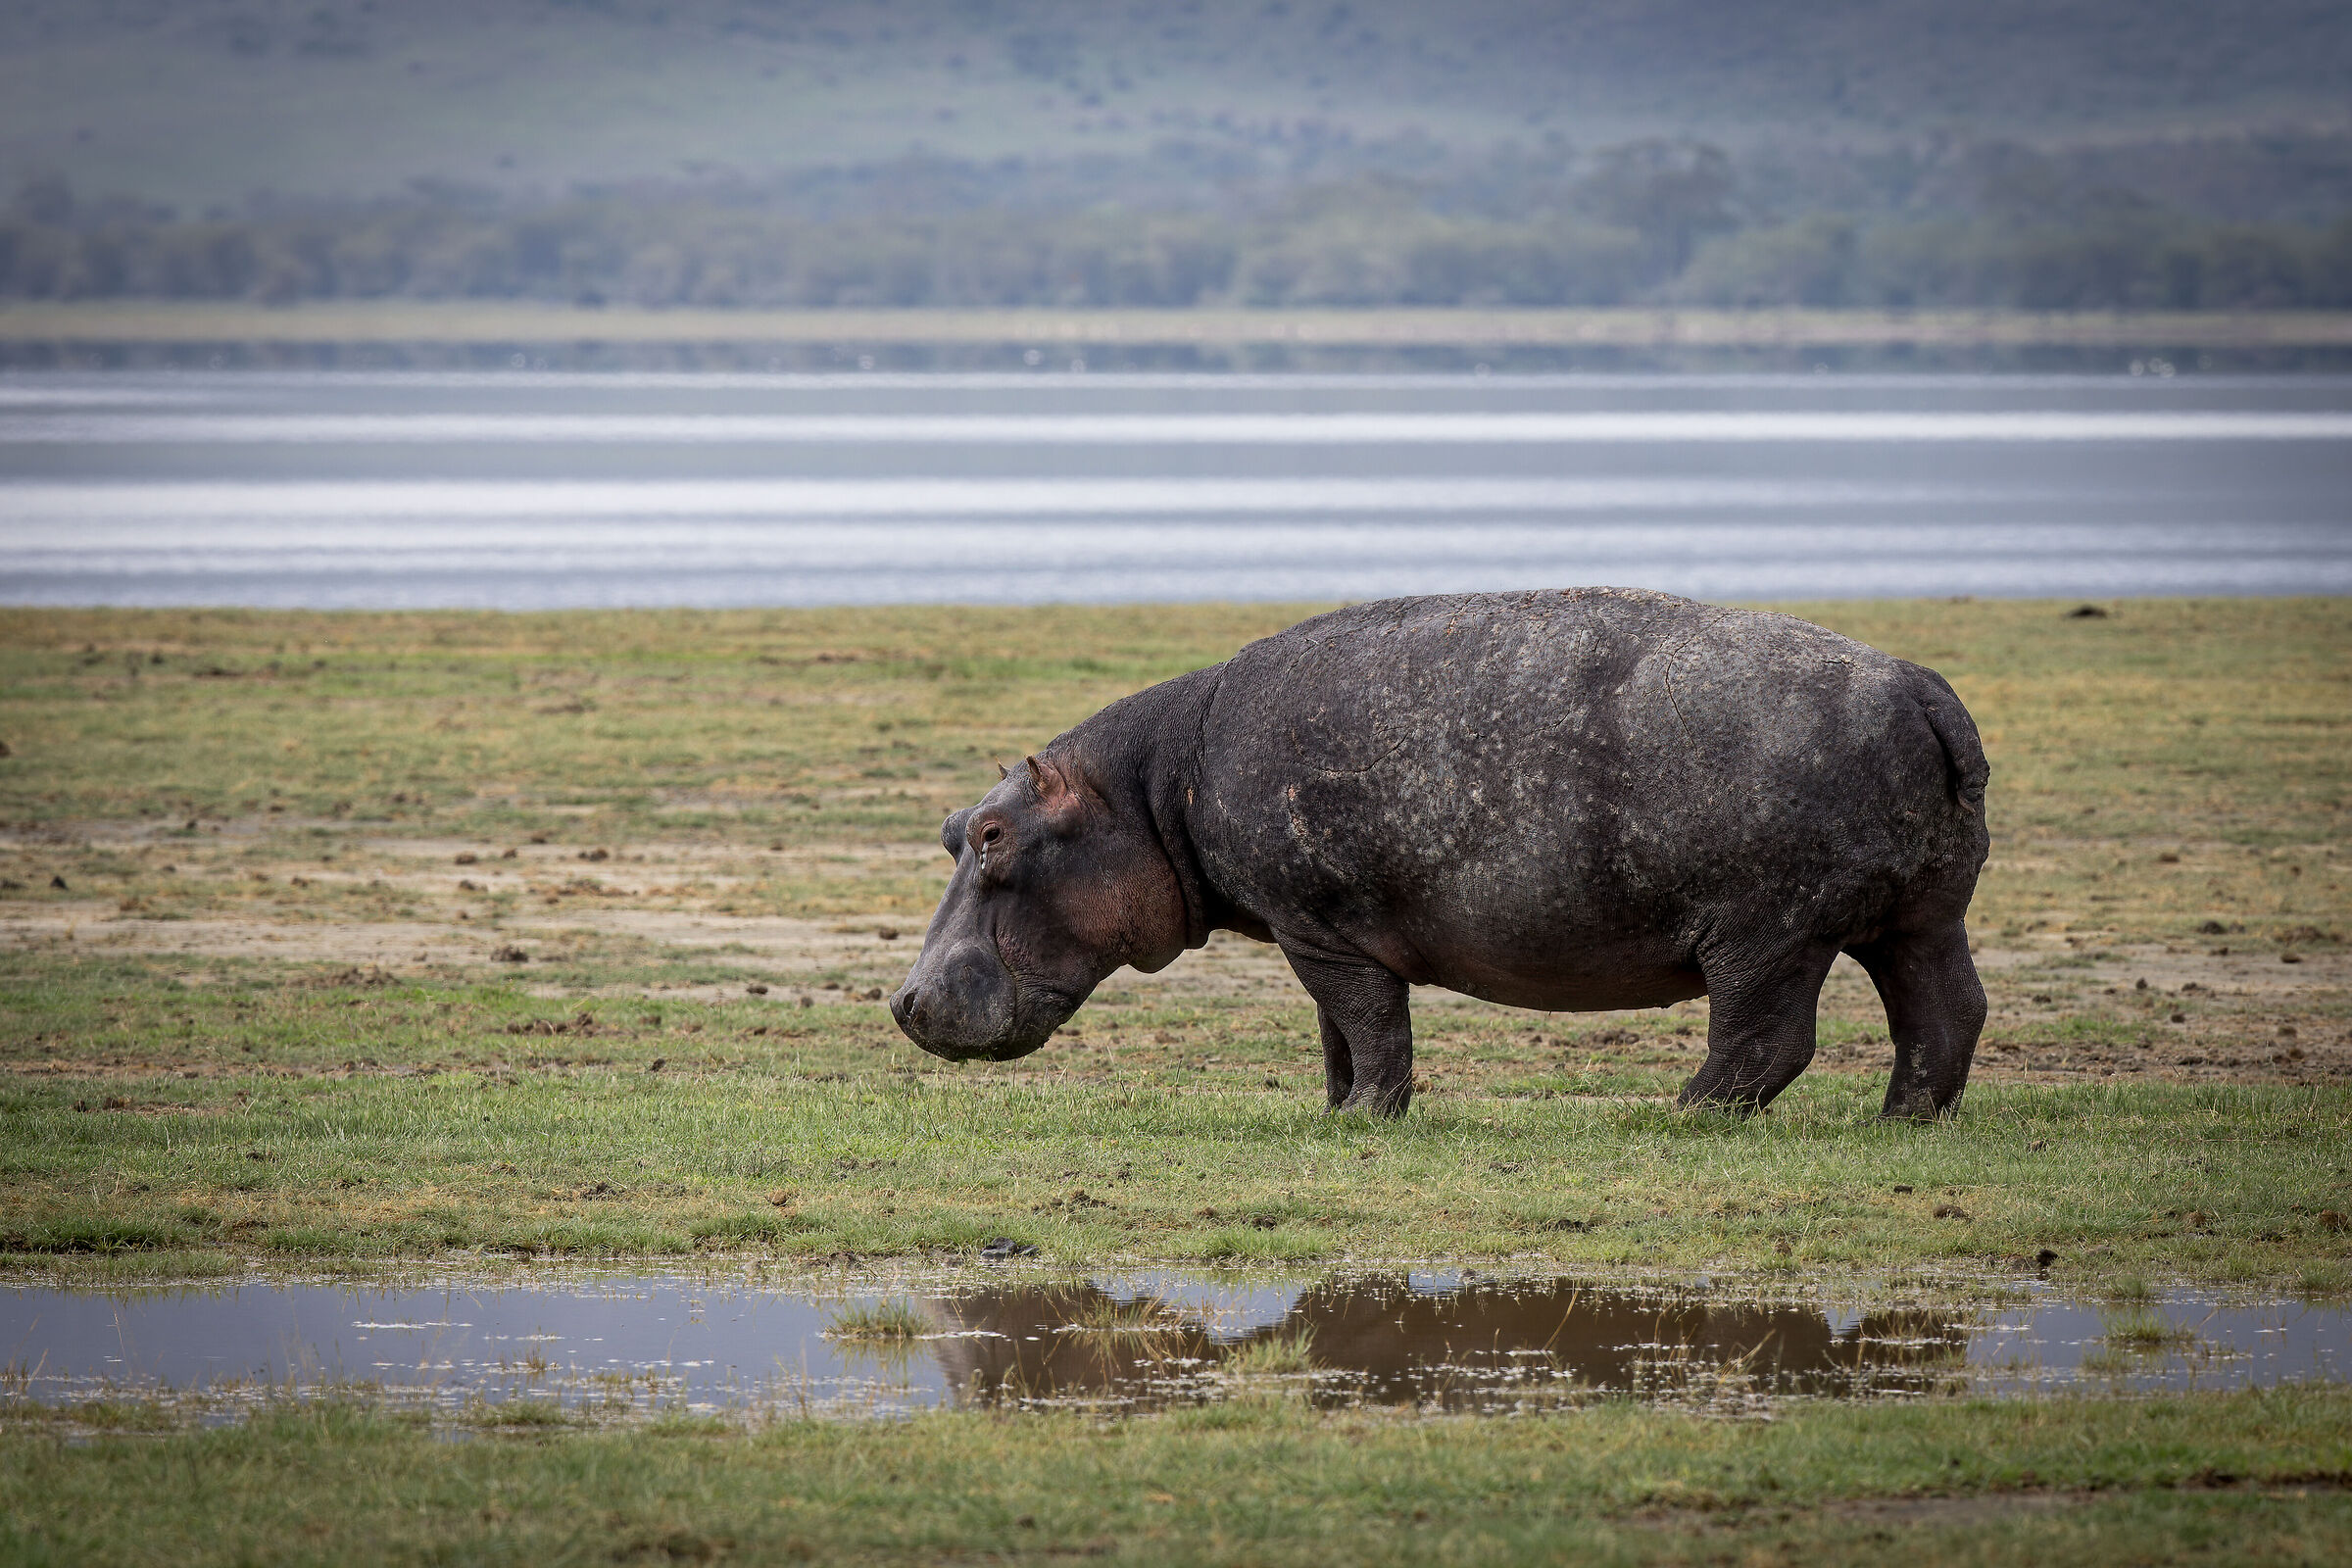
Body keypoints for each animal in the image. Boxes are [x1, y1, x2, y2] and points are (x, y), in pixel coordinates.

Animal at [890, 588, 1990, 1118]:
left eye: (992, 837)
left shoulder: (1320, 930)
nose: (900, 1000)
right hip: (1918, 914)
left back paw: (1672, 1115)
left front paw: (1365, 1118)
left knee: (1765, 1039)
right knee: (1945, 1013)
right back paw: (1901, 1121)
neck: (1150, 786)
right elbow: (1336, 1034)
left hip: (1770, 929)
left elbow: (1371, 1026)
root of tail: (1925, 685)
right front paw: (1334, 1110)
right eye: (949, 829)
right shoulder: (1316, 936)